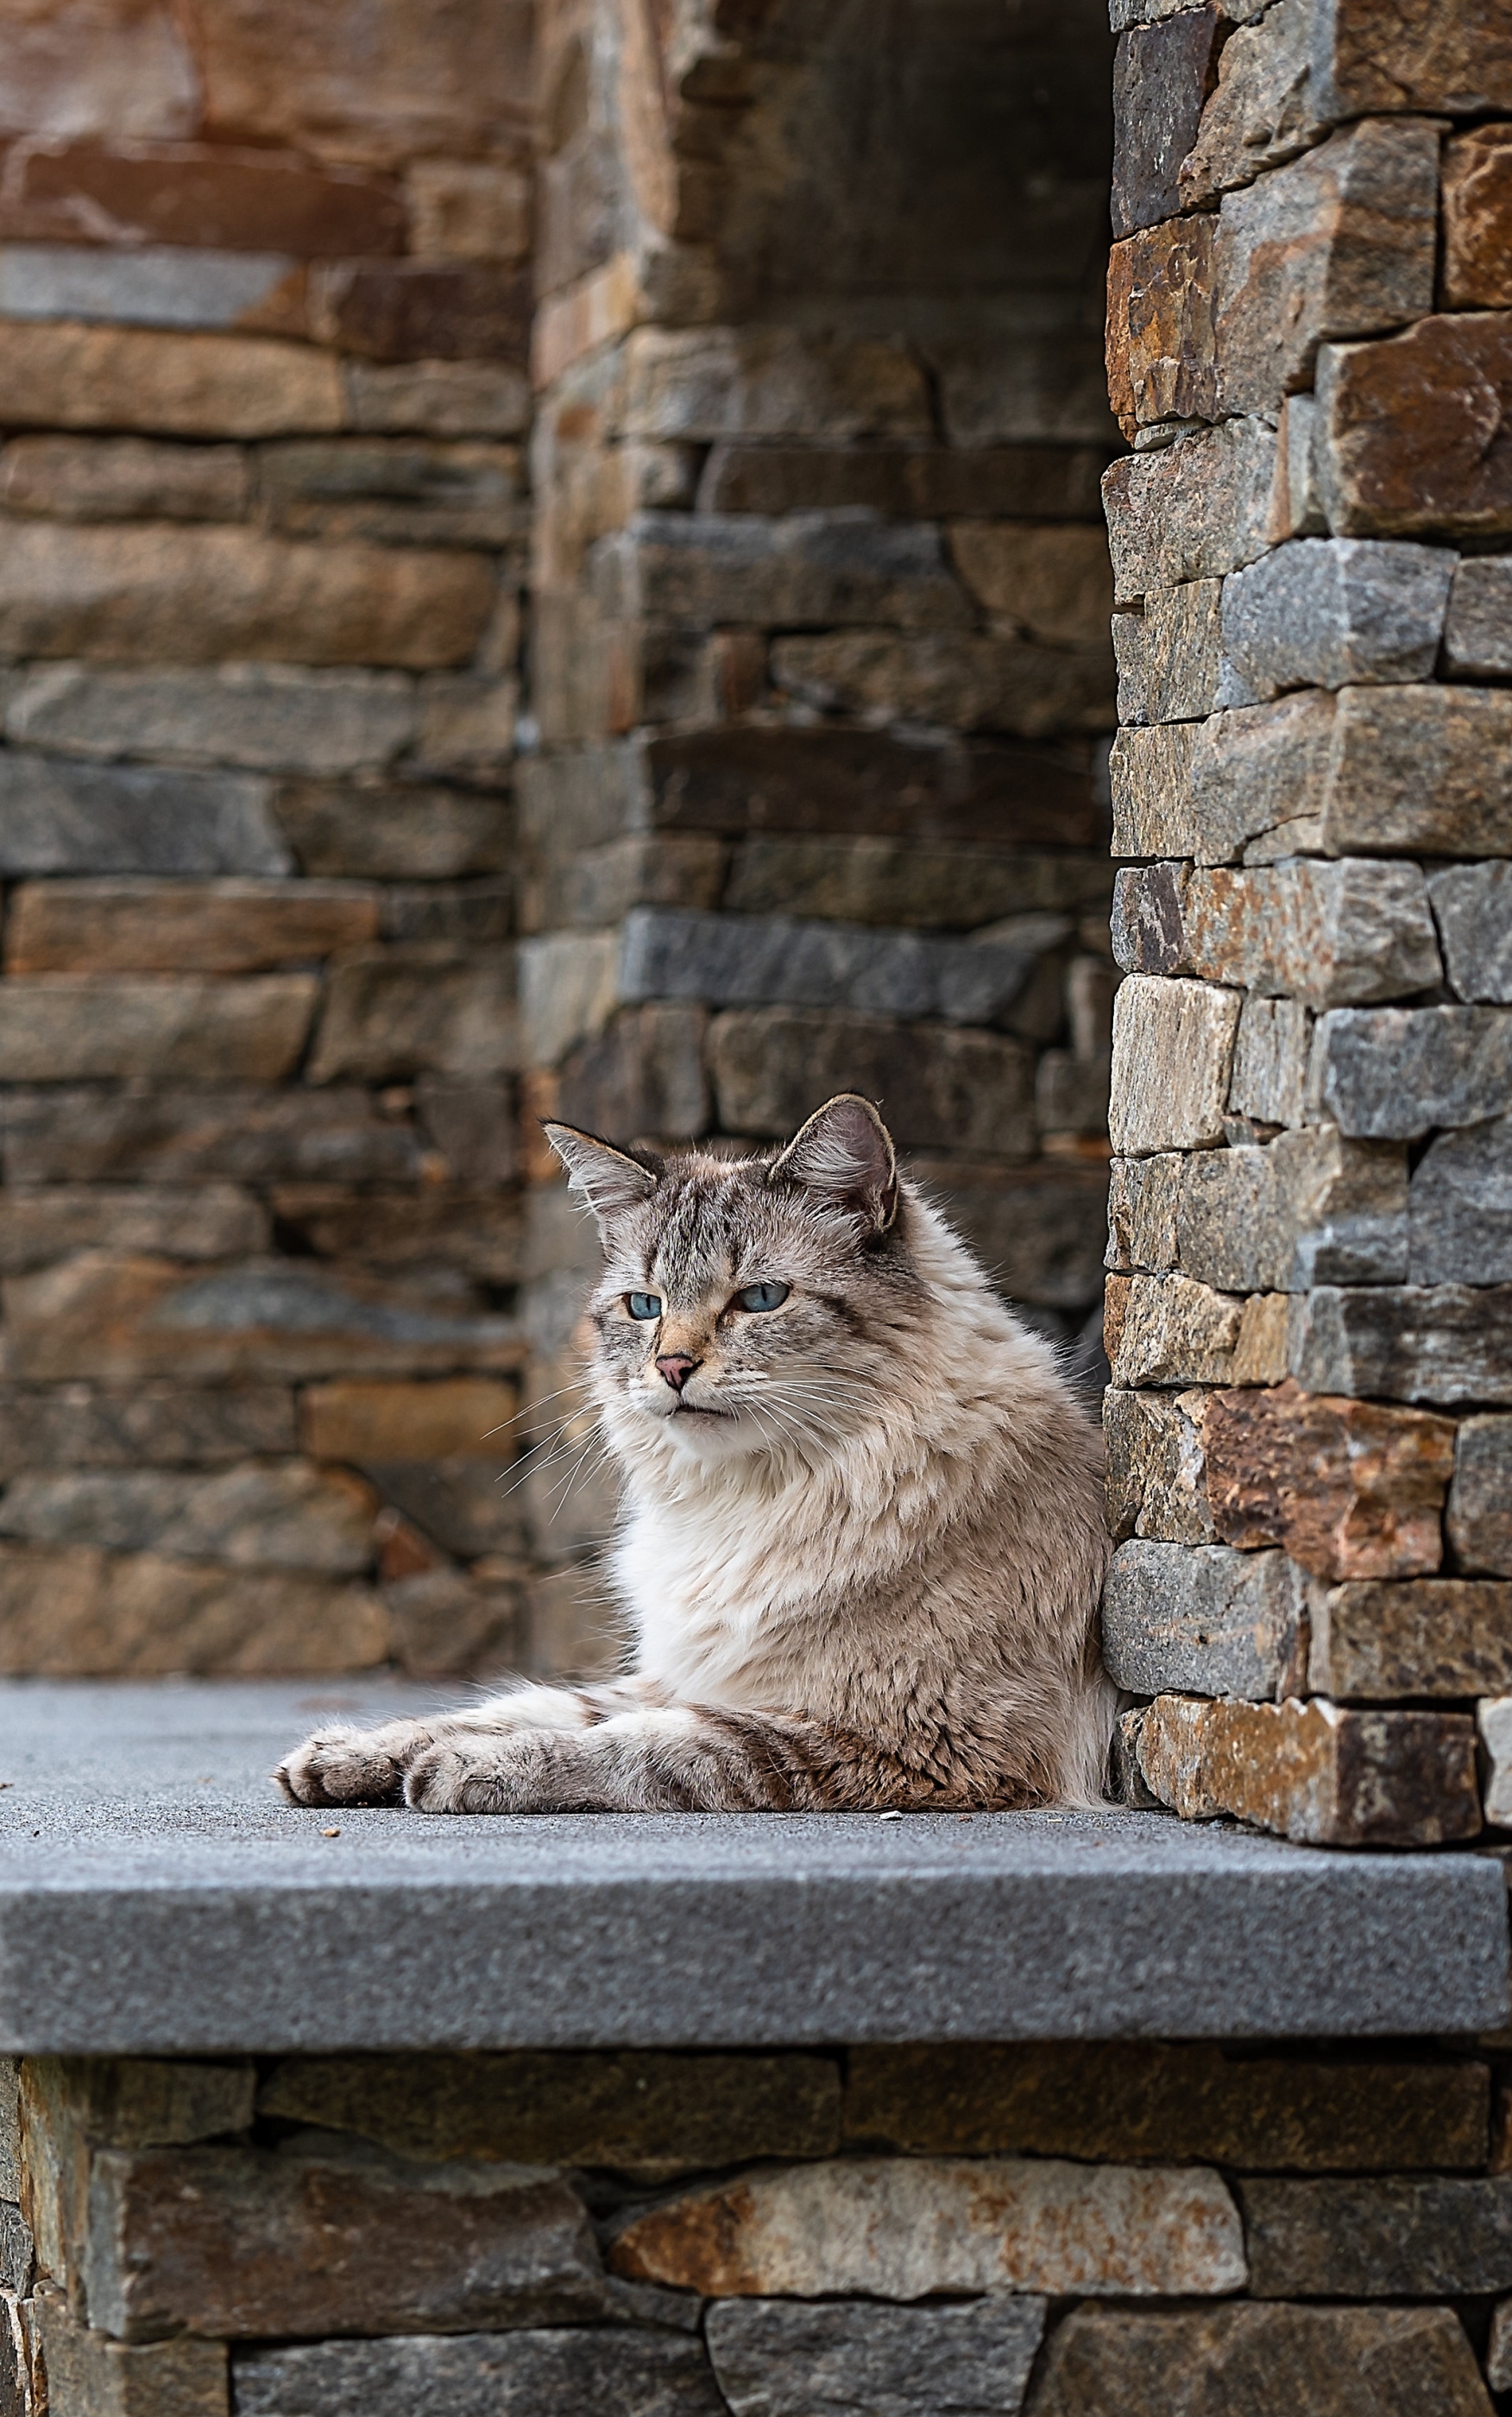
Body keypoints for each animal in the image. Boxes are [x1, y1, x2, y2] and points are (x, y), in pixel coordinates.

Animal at [276, 1097, 1111, 1817]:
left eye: (761, 1299)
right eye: (643, 1307)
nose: (673, 1367)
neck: (745, 1498)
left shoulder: (902, 1736)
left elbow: (638, 1747)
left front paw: (461, 1771)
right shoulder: (683, 1675)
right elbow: (521, 1706)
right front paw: (342, 1758)